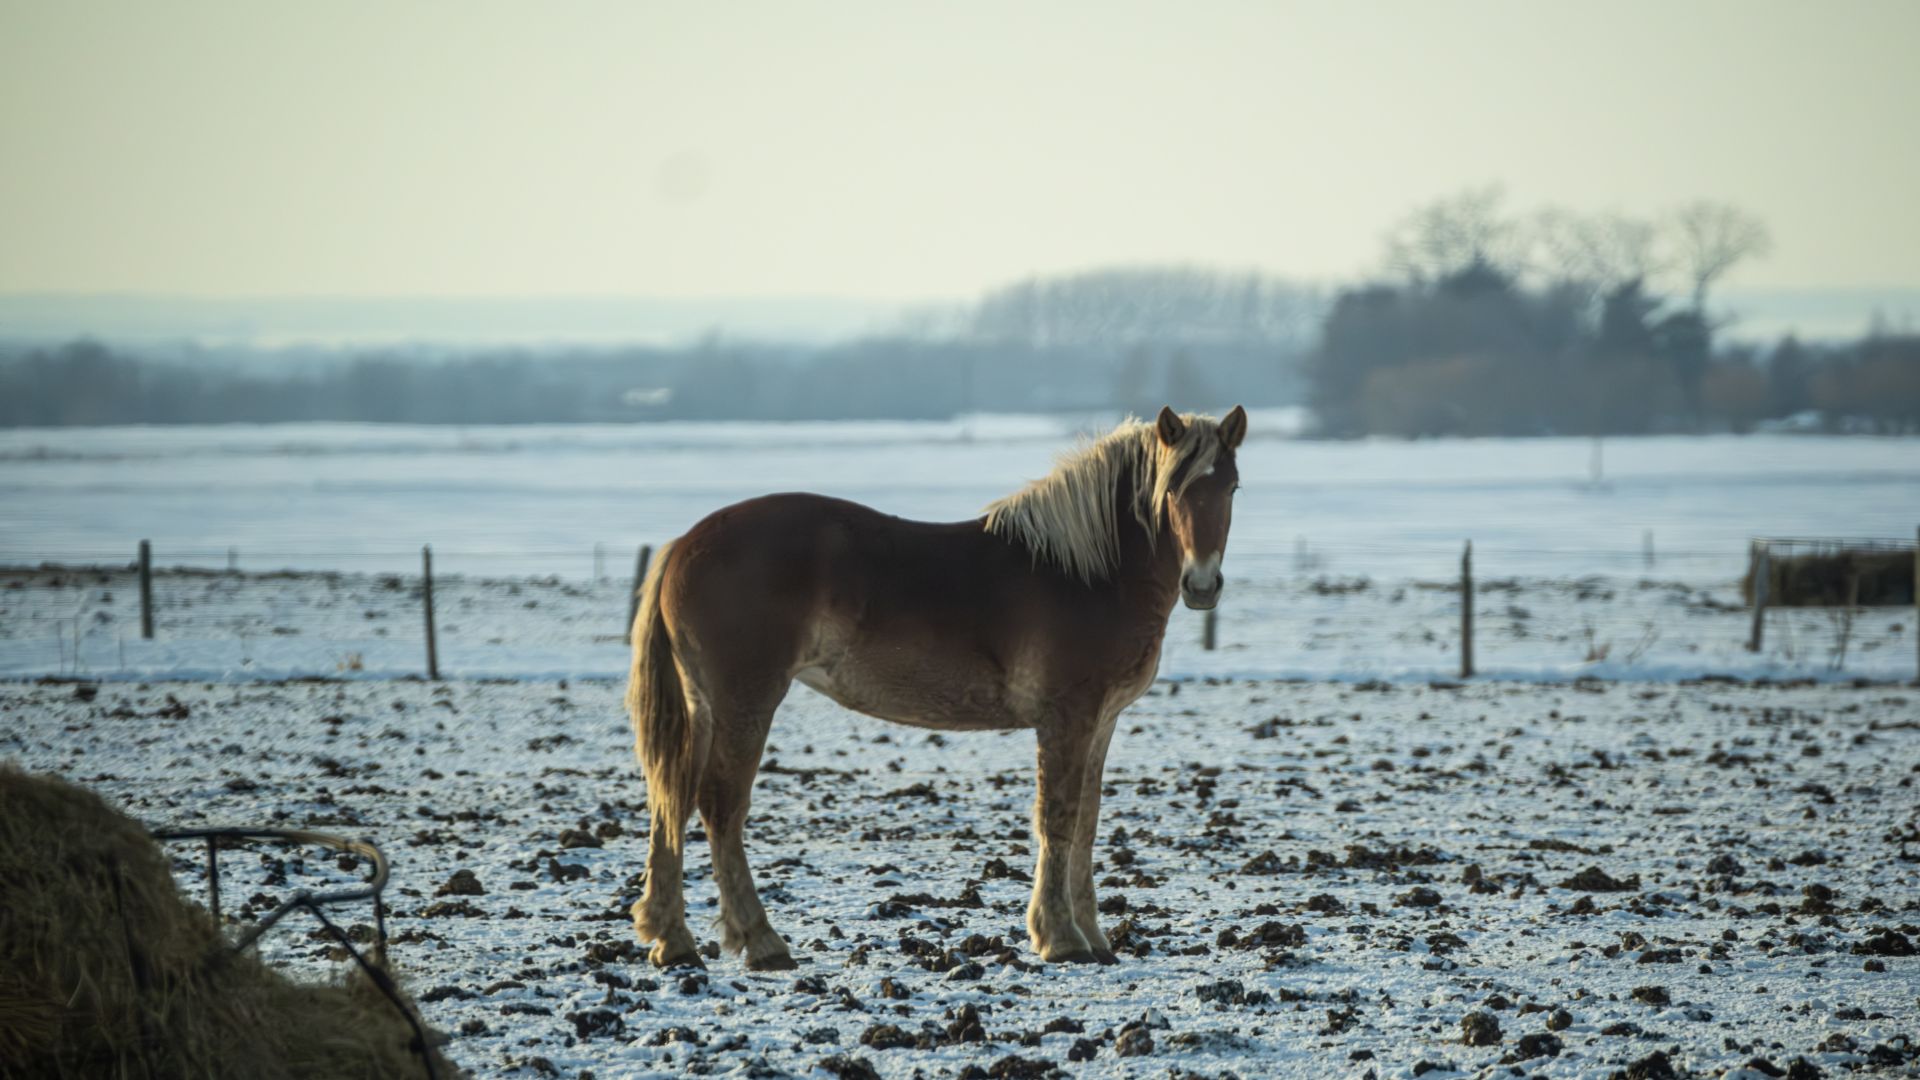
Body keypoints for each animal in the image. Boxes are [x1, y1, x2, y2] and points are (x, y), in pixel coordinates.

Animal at [625, 405, 1244, 968]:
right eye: (1173, 489)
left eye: (1232, 486)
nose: (1202, 584)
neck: (1088, 572)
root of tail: (683, 545)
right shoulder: (1067, 719)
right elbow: (1059, 818)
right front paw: (1061, 938)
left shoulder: (1102, 722)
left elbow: (1087, 822)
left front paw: (1093, 936)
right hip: (746, 702)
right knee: (720, 805)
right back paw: (762, 942)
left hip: (705, 707)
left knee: (673, 798)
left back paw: (672, 941)